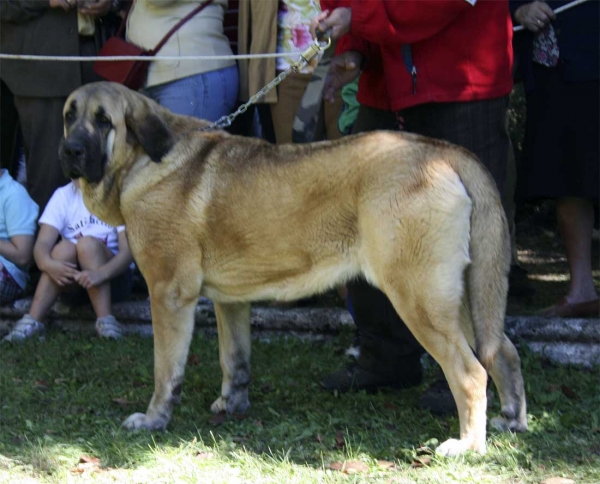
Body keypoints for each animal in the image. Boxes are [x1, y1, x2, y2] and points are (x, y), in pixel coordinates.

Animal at [58, 83, 528, 458]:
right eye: (69, 116)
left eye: (103, 121)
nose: (70, 151)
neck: (144, 159)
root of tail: (445, 151)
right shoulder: (231, 301)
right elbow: (235, 360)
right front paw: (232, 405)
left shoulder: (168, 294)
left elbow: (165, 371)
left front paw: (154, 419)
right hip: (465, 300)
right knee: (502, 351)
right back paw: (511, 422)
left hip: (420, 298)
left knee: (470, 372)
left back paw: (467, 445)